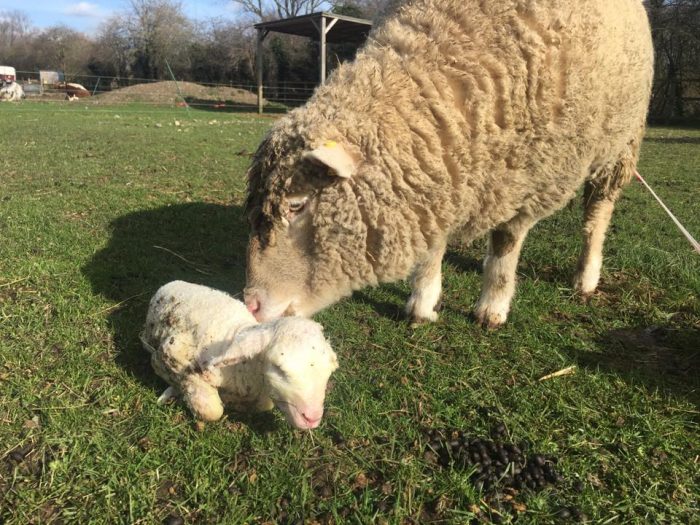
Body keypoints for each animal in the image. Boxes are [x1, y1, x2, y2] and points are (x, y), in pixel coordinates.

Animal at [141, 281, 339, 429]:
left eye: (329, 371)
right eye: (279, 368)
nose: (312, 418)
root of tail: (169, 284)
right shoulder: (174, 356)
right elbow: (212, 411)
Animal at [243, 0, 654, 327]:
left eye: (297, 205)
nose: (251, 304)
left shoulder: (531, 177)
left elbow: (505, 244)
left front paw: (492, 307)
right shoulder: (436, 174)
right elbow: (432, 245)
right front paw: (422, 302)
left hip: (619, 144)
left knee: (597, 215)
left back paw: (586, 276)